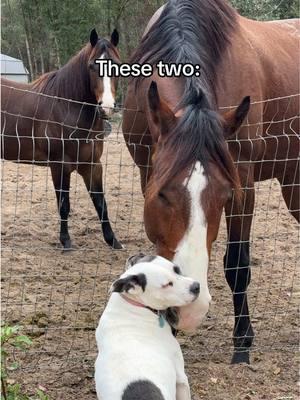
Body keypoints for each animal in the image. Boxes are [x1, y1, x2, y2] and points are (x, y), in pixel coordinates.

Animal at [0, 28, 123, 250]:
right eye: (92, 66)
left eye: (117, 65)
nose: (107, 107)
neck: (65, 107)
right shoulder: (60, 165)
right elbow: (64, 205)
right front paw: (66, 241)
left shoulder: (92, 165)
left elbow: (101, 203)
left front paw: (113, 240)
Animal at [122, 0, 300, 364]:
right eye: (161, 195)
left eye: (224, 195)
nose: (191, 308)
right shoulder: (145, 168)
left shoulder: (244, 182)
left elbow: (237, 265)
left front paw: (242, 342)